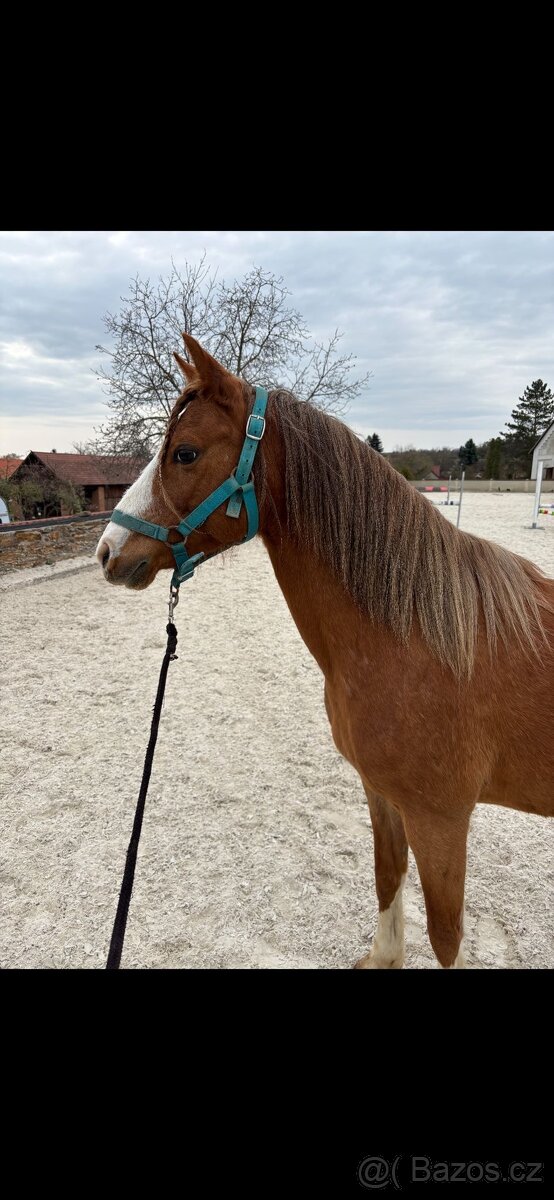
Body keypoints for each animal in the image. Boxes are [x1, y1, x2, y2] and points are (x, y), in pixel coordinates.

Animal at [96, 334, 554, 969]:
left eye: (184, 453)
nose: (107, 550)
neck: (417, 636)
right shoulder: (383, 795)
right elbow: (387, 876)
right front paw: (383, 956)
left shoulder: (441, 819)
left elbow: (446, 935)